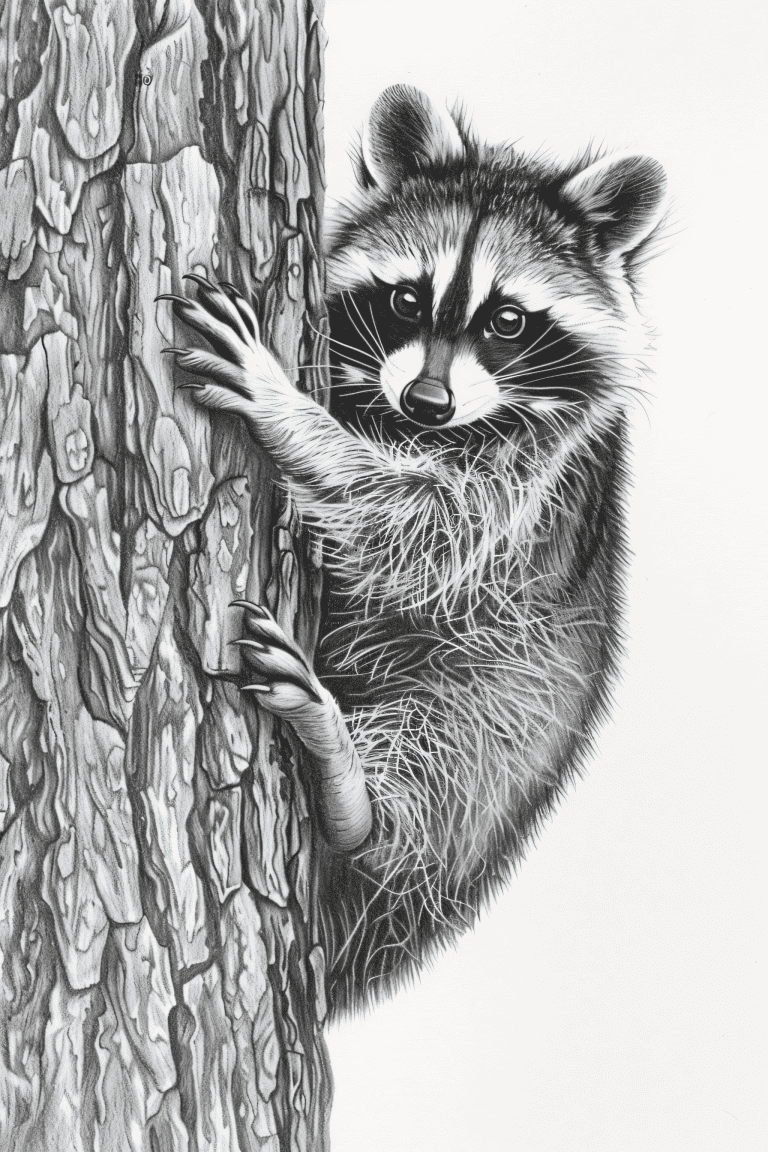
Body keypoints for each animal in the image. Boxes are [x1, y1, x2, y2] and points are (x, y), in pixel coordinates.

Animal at [163, 85, 666, 1016]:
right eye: (406, 299)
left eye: (508, 319)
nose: (427, 401)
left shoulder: (532, 482)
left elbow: (421, 528)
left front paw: (288, 414)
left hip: (505, 724)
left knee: (446, 751)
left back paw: (355, 793)